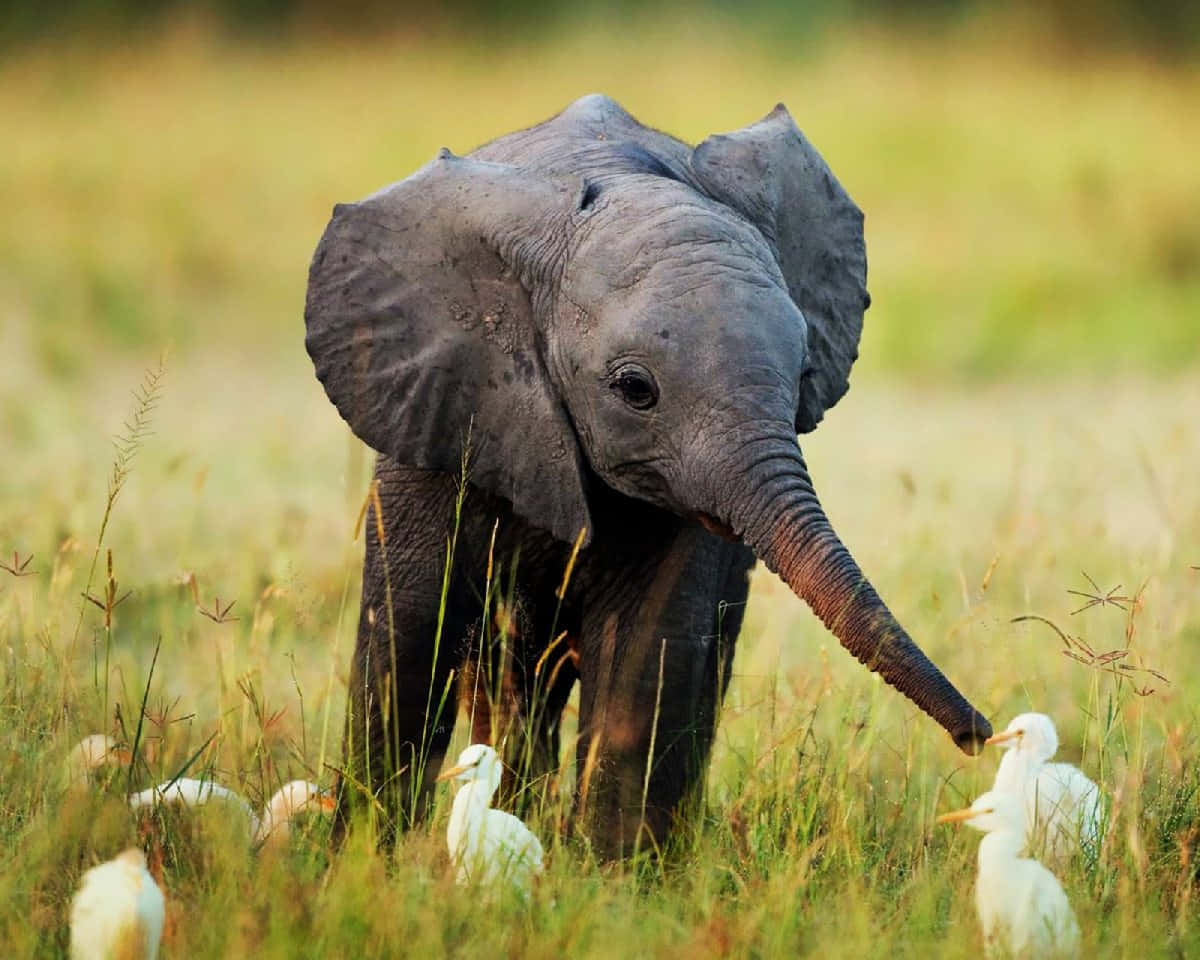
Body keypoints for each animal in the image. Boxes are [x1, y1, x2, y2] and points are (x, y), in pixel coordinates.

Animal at [304, 94, 992, 858]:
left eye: (804, 375)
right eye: (636, 389)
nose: (979, 736)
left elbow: (649, 650)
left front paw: (617, 878)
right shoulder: (437, 407)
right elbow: (409, 634)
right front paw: (361, 862)